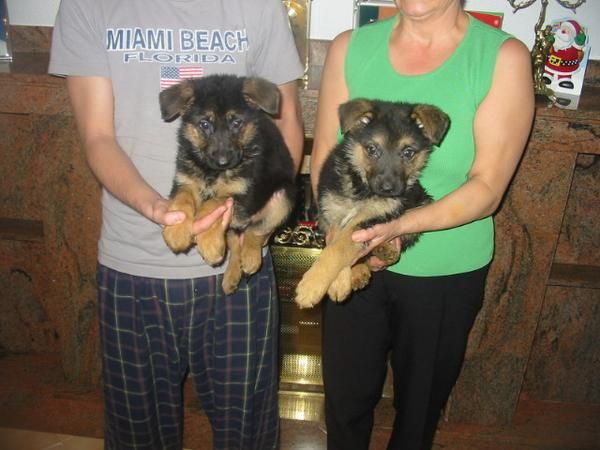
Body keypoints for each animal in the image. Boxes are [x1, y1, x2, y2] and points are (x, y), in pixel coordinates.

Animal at [161, 74, 296, 296]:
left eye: (237, 123)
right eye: (204, 124)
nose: (223, 161)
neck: (212, 171)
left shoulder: (241, 193)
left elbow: (211, 203)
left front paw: (208, 244)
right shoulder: (185, 181)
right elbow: (182, 199)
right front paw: (177, 230)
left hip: (283, 197)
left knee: (256, 230)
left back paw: (250, 258)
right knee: (234, 241)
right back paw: (232, 276)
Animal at [292, 99, 448, 310]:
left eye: (408, 152)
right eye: (372, 149)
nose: (388, 188)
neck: (362, 189)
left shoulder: (371, 220)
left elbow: (339, 248)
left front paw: (312, 286)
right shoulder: (332, 213)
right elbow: (334, 243)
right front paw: (336, 282)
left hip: (420, 203)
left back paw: (385, 251)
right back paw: (362, 270)